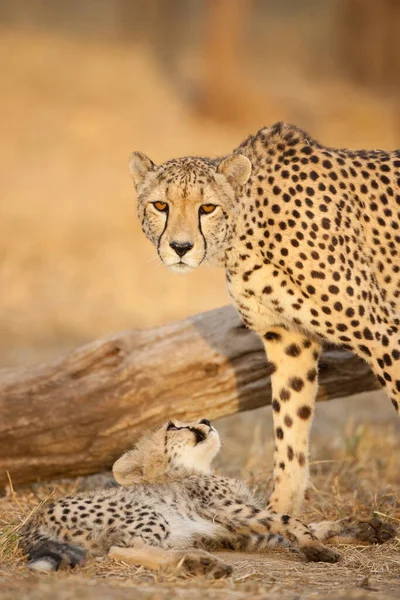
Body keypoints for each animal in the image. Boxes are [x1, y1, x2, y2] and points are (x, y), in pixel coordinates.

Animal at [19, 418, 394, 576]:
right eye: (174, 426)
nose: (206, 420)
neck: (193, 470)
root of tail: (33, 521)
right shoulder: (230, 512)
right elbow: (292, 520)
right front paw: (317, 549)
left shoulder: (239, 533)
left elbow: (310, 525)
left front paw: (366, 528)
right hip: (148, 514)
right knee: (120, 550)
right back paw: (197, 563)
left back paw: (196, 560)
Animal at [128, 123, 400, 516]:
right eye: (160, 205)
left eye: (207, 207)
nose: (180, 248)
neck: (246, 235)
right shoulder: (288, 339)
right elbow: (289, 428)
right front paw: (281, 513)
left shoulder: (382, 333)